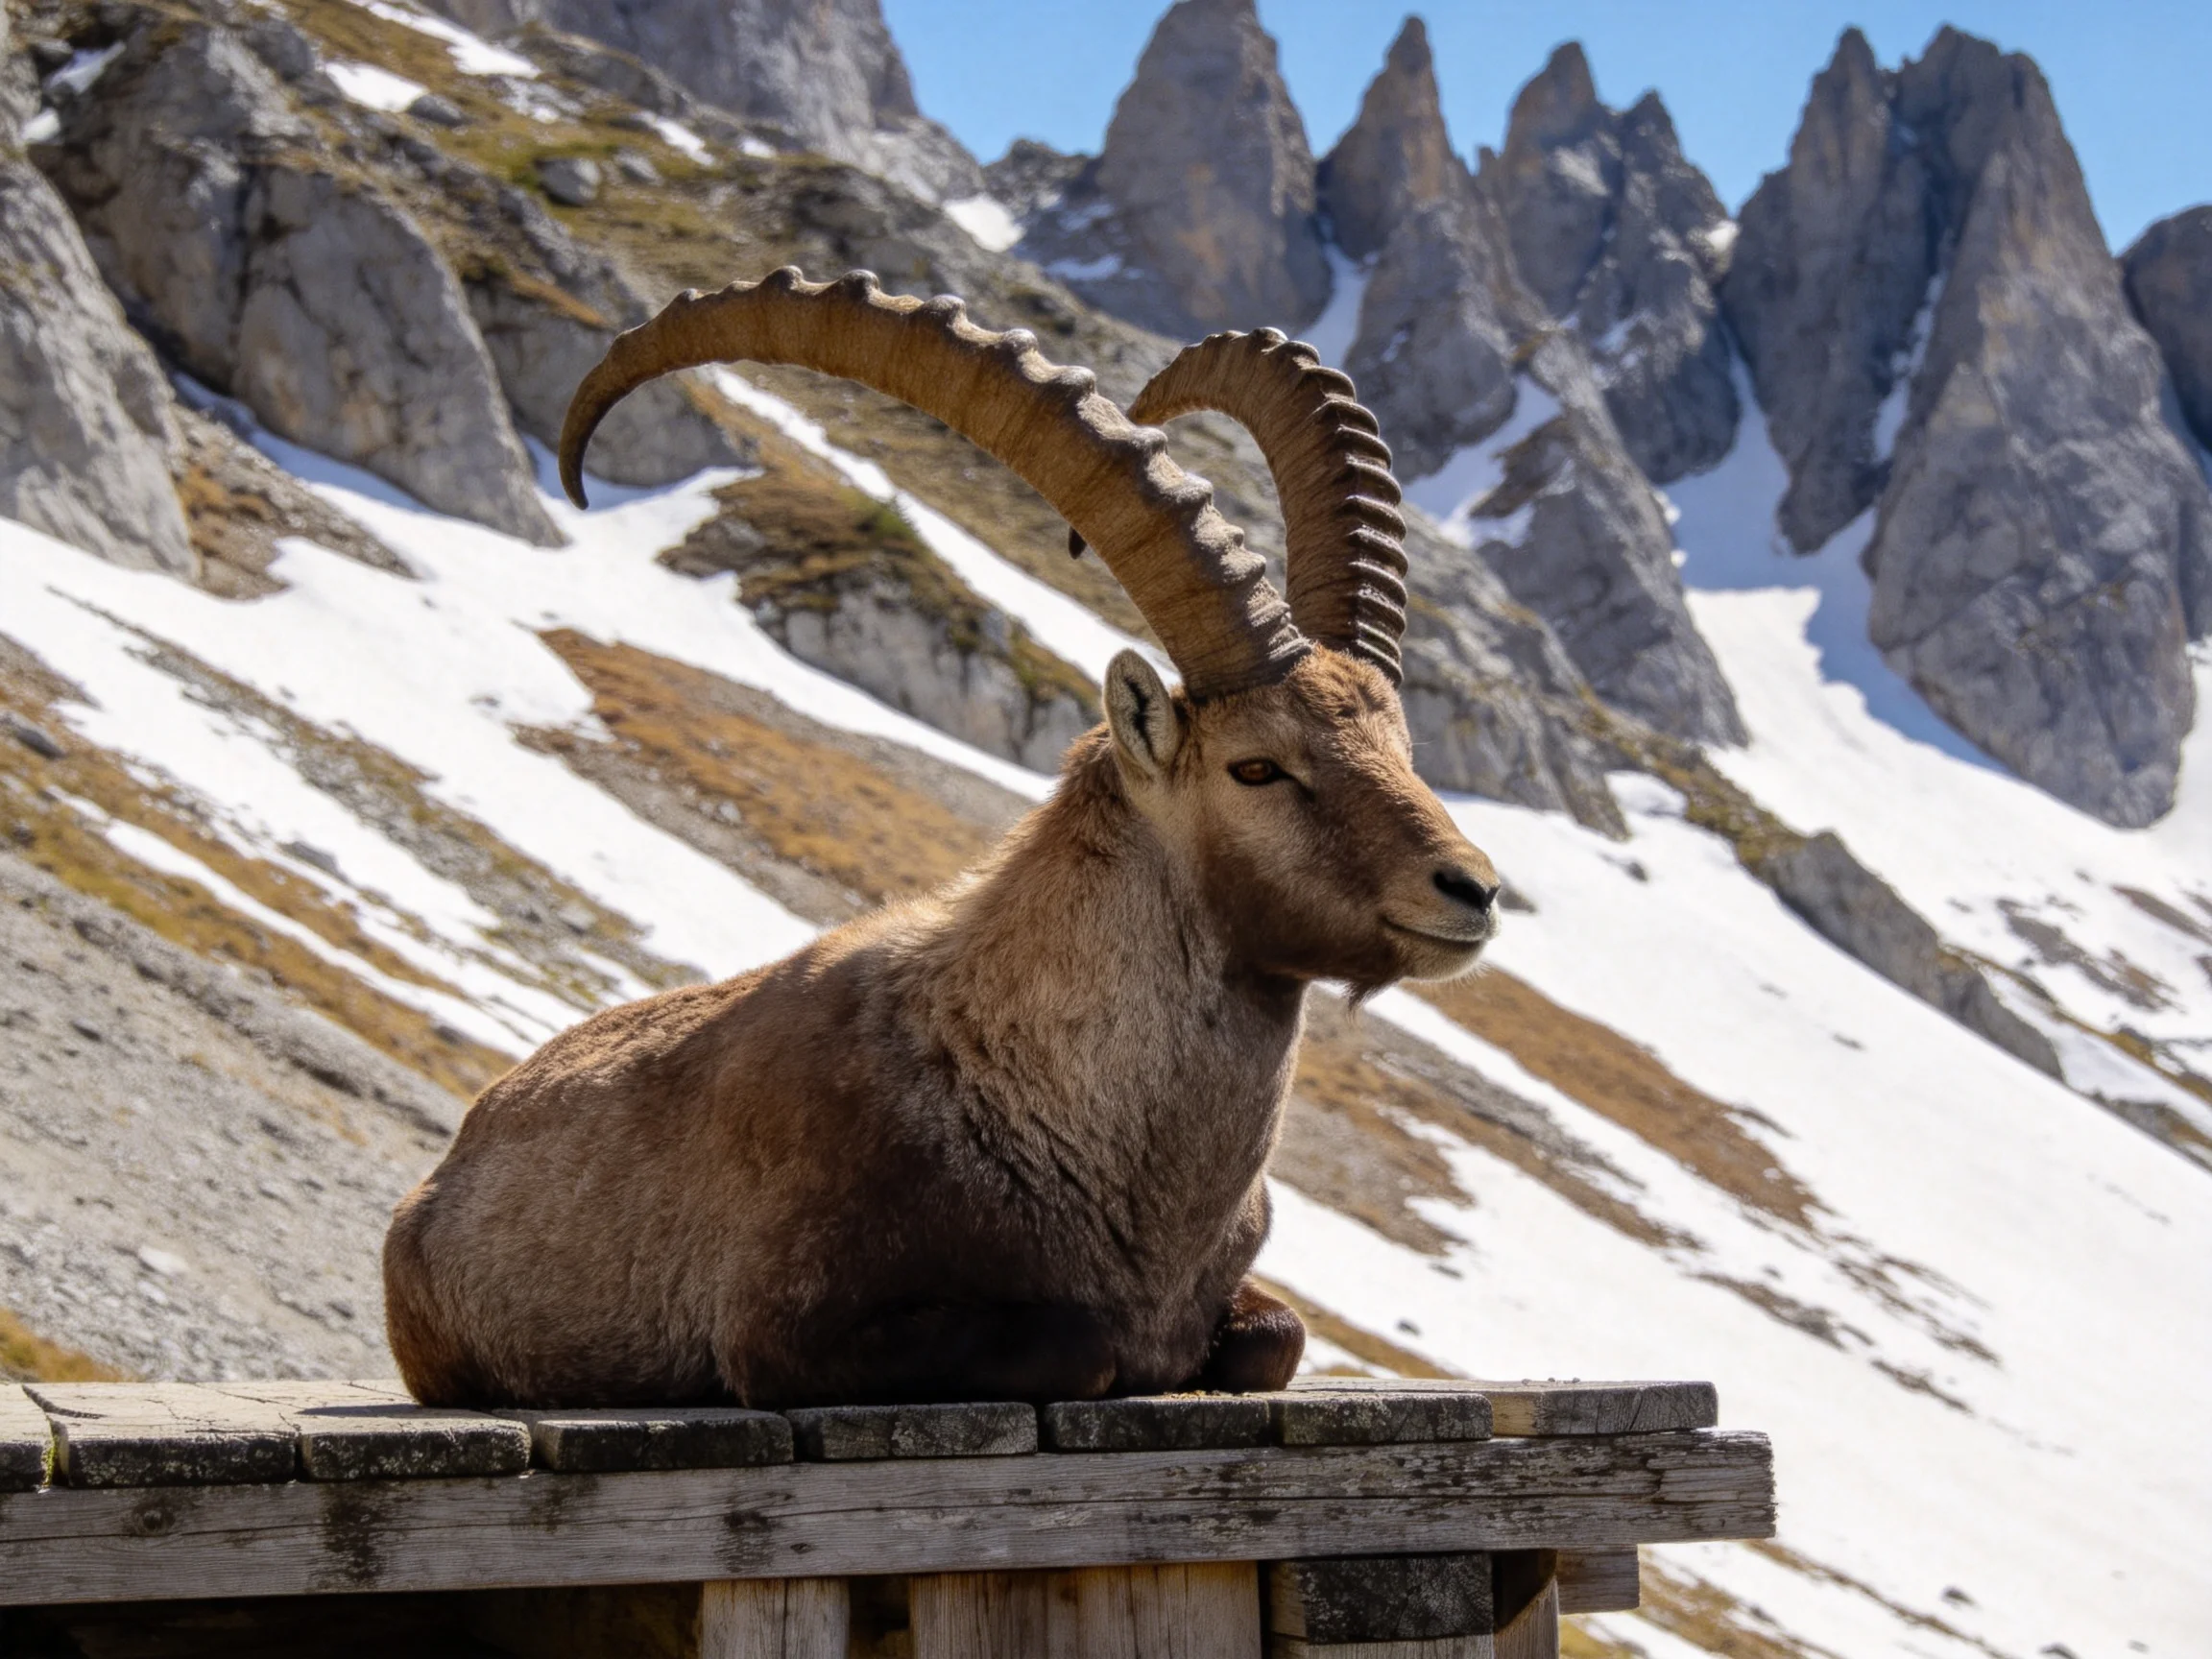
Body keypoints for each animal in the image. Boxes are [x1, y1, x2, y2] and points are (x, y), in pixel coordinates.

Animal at [383, 268, 1502, 1409]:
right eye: (1258, 767)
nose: (1472, 889)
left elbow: (1275, 1337)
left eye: (1403, 747)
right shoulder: (783, 1327)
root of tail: (451, 1157)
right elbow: (1080, 1344)